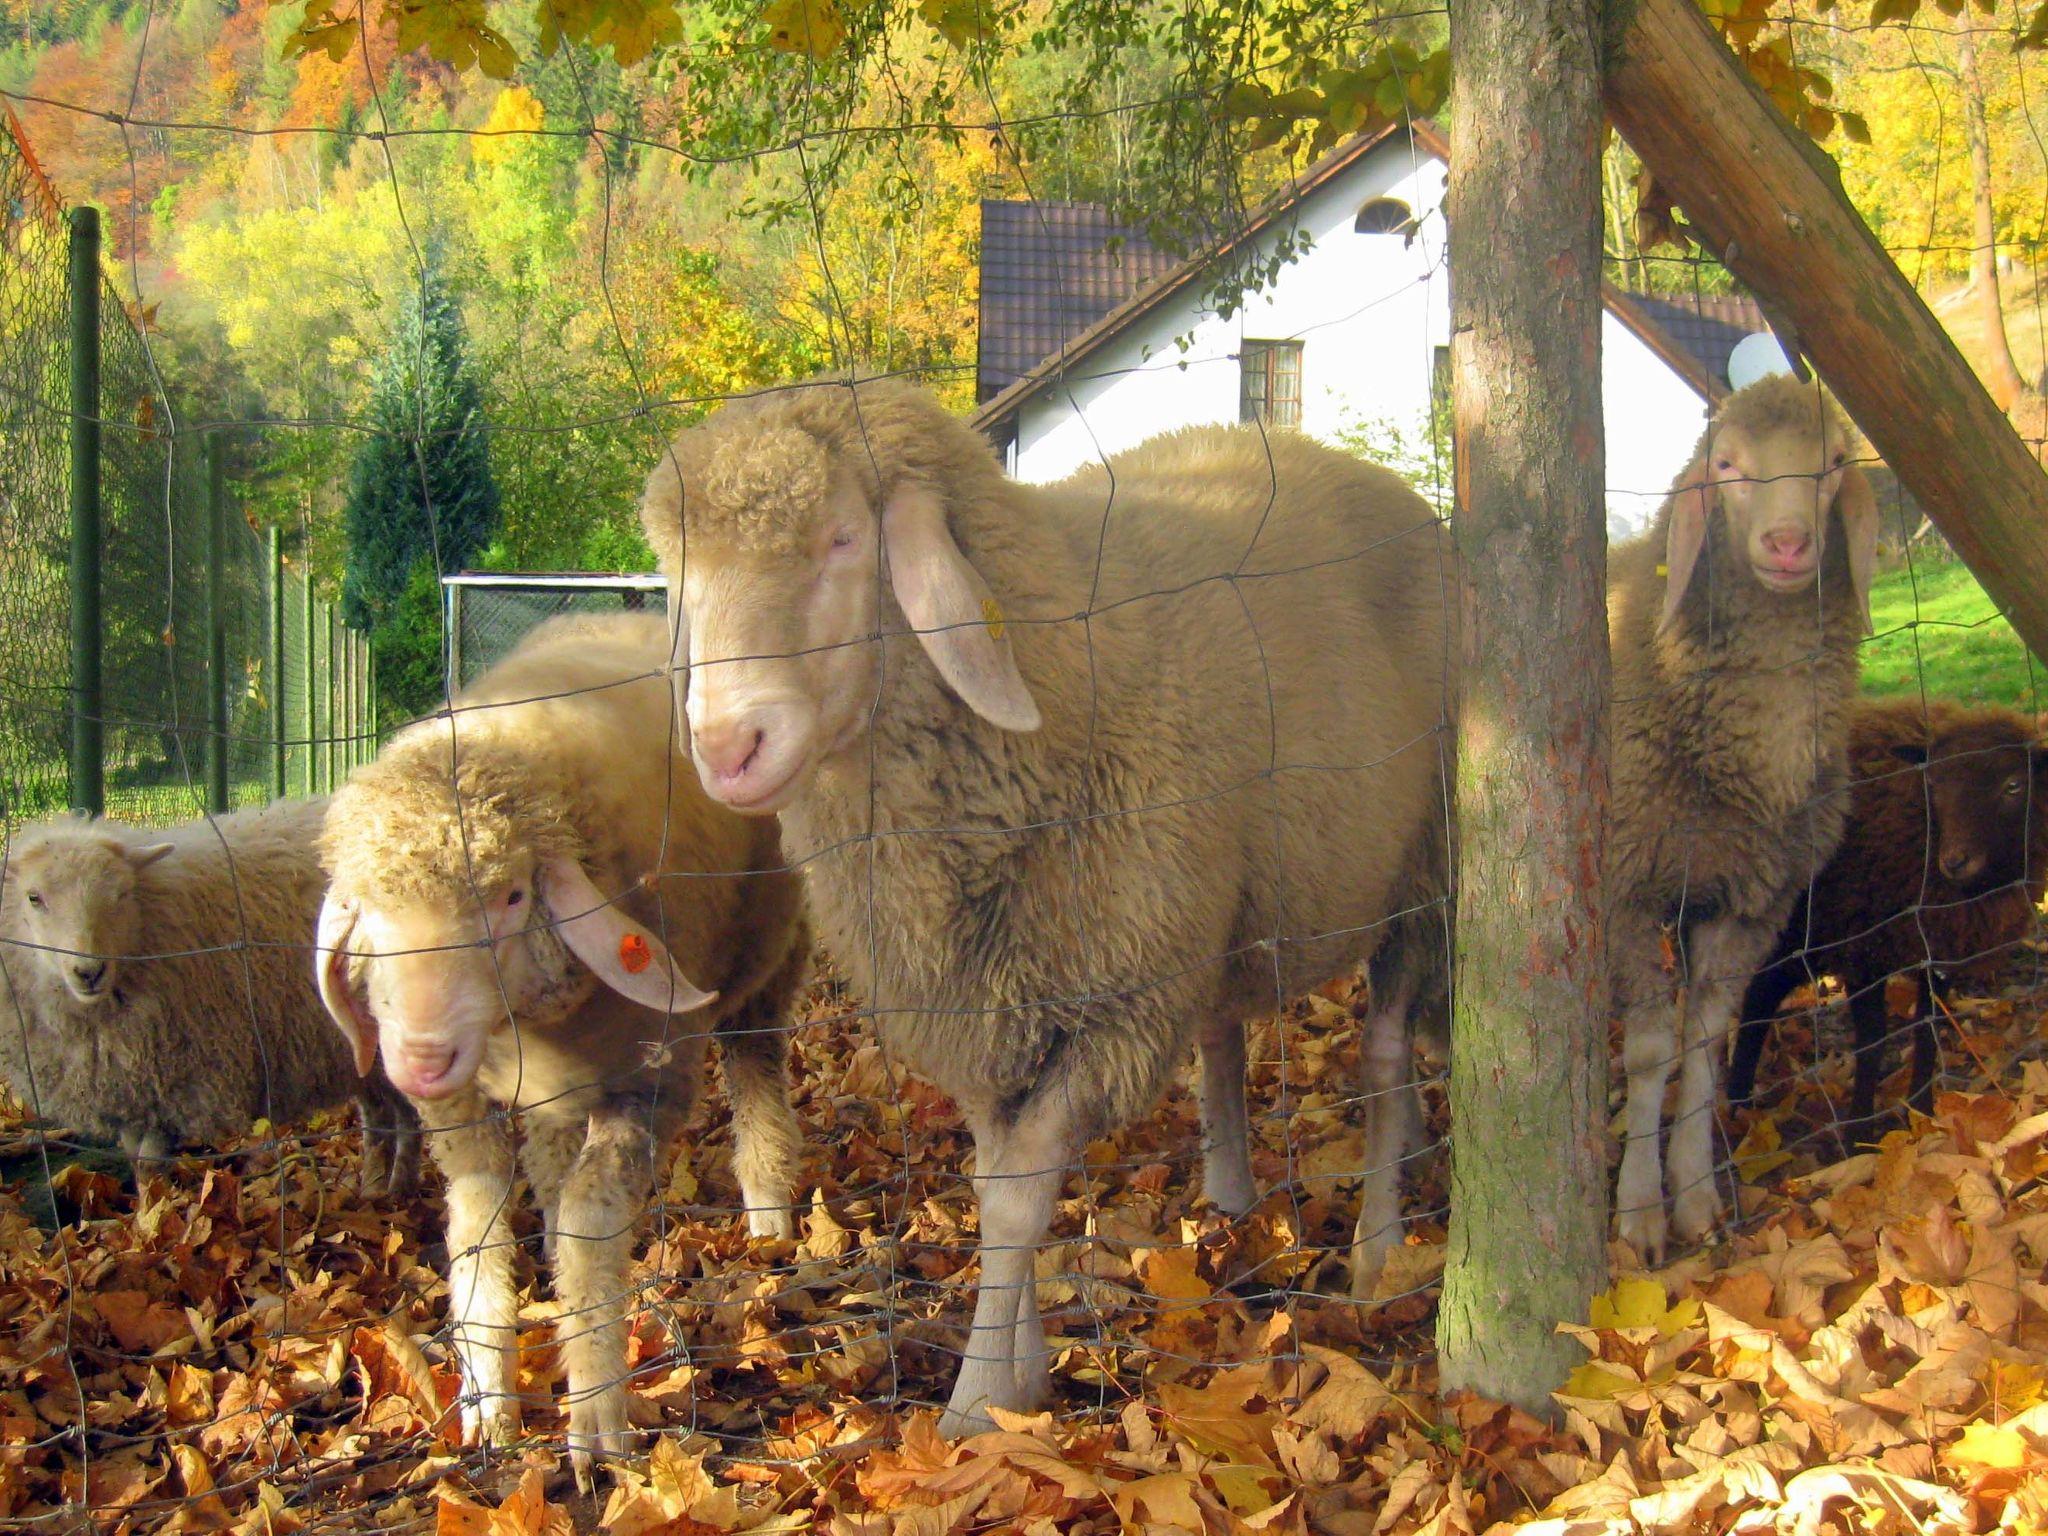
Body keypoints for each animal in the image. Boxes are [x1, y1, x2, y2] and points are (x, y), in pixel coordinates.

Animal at [0, 798, 419, 1196]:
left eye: (121, 894)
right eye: (33, 898)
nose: (88, 972)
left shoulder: (173, 1082)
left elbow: (149, 1167)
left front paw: (153, 1213)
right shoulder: (130, 1090)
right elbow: (135, 1161)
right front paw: (146, 1214)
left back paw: (400, 1190)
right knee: (381, 1112)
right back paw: (375, 1189)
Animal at [311, 614, 806, 1490]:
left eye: (512, 896)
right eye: (367, 911)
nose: (419, 1061)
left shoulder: (649, 1083)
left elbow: (590, 1228)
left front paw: (596, 1413)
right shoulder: (465, 1109)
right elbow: (478, 1227)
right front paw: (488, 1394)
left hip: (760, 967)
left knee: (755, 1071)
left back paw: (768, 1211)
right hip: (550, 1093)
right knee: (547, 1165)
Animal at [638, 378, 1458, 1441]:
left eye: (842, 540)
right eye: (679, 576)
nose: (728, 747)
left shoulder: (1114, 1000)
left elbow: (1022, 1201)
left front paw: (977, 1403)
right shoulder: (983, 999)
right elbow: (994, 1188)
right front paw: (1018, 1373)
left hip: (1420, 870)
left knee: (1386, 1055)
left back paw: (1379, 1245)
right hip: (1212, 913)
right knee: (1224, 1035)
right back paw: (1233, 1202)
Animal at [1605, 372, 1875, 1261]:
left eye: (1833, 464)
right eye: (1725, 464)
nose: (1789, 543)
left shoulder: (1754, 899)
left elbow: (1704, 1040)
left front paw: (1694, 1196)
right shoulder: (1625, 886)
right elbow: (1651, 1050)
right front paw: (1639, 1215)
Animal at [1728, 704, 2048, 1122]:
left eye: (2014, 786)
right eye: (1933, 784)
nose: (1955, 861)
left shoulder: (1938, 945)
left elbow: (1928, 1030)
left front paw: (1922, 1114)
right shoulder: (1863, 948)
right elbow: (1873, 1043)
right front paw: (1859, 1128)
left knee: (1762, 993)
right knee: (1758, 996)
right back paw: (1735, 1103)